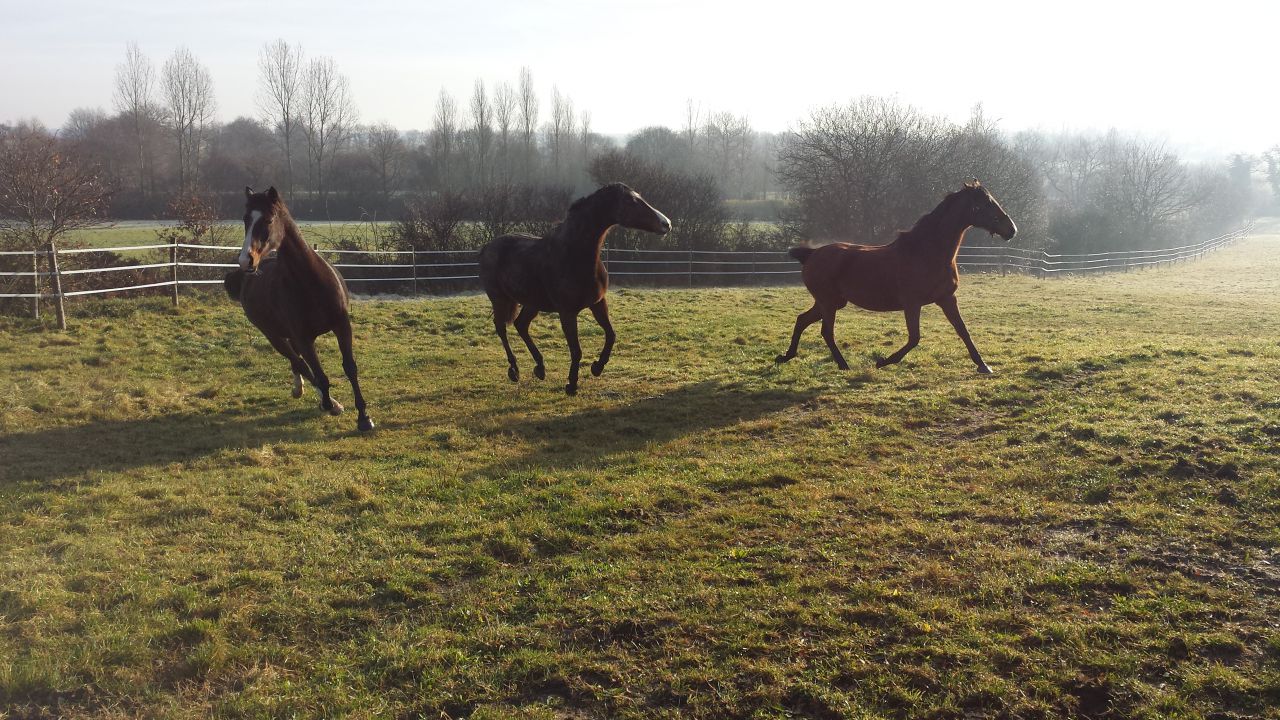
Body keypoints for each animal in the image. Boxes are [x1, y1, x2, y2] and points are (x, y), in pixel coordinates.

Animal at [224, 186, 374, 432]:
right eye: (245, 219)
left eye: (268, 219)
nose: (246, 260)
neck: (310, 282)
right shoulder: (303, 338)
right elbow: (320, 375)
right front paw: (330, 404)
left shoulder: (342, 326)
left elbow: (350, 367)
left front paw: (364, 418)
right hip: (273, 335)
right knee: (299, 362)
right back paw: (327, 401)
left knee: (298, 362)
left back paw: (304, 390)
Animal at [478, 182, 671, 395]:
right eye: (632, 201)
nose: (667, 223)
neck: (574, 255)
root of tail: (487, 247)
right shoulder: (567, 312)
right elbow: (576, 350)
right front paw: (572, 384)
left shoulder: (598, 303)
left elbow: (611, 335)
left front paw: (597, 367)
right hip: (499, 299)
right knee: (501, 327)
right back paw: (514, 369)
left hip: (532, 302)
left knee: (521, 325)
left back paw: (540, 367)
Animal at [776, 179, 1017, 374]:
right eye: (986, 203)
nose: (1012, 229)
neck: (927, 252)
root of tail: (811, 254)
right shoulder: (912, 303)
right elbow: (914, 338)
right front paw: (883, 361)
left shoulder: (947, 299)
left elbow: (963, 331)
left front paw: (984, 366)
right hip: (828, 302)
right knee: (826, 332)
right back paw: (843, 365)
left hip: (832, 302)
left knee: (802, 320)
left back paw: (786, 356)